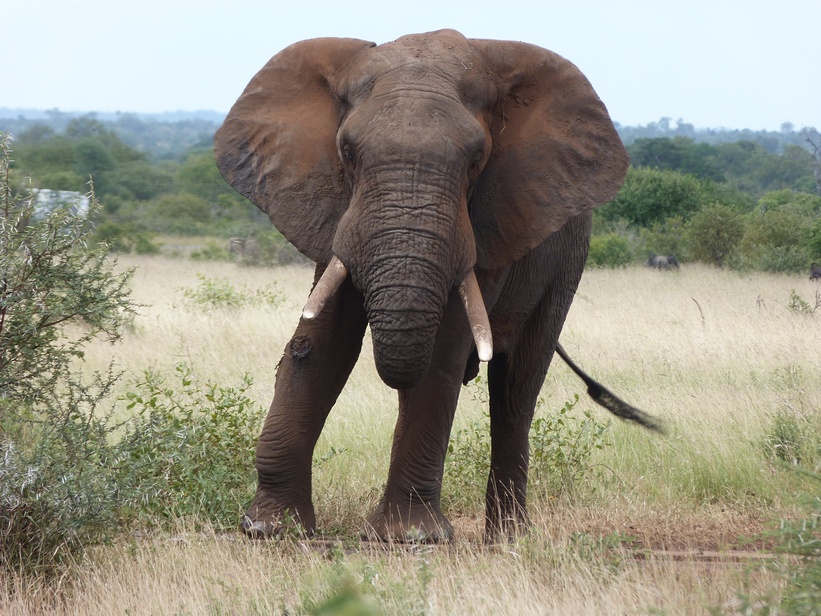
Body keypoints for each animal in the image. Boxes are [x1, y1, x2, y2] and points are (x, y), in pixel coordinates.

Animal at [215, 29, 662, 543]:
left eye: (476, 159)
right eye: (347, 152)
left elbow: (440, 355)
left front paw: (409, 538)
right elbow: (324, 342)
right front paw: (270, 528)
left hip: (566, 261)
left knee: (518, 387)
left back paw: (507, 539)